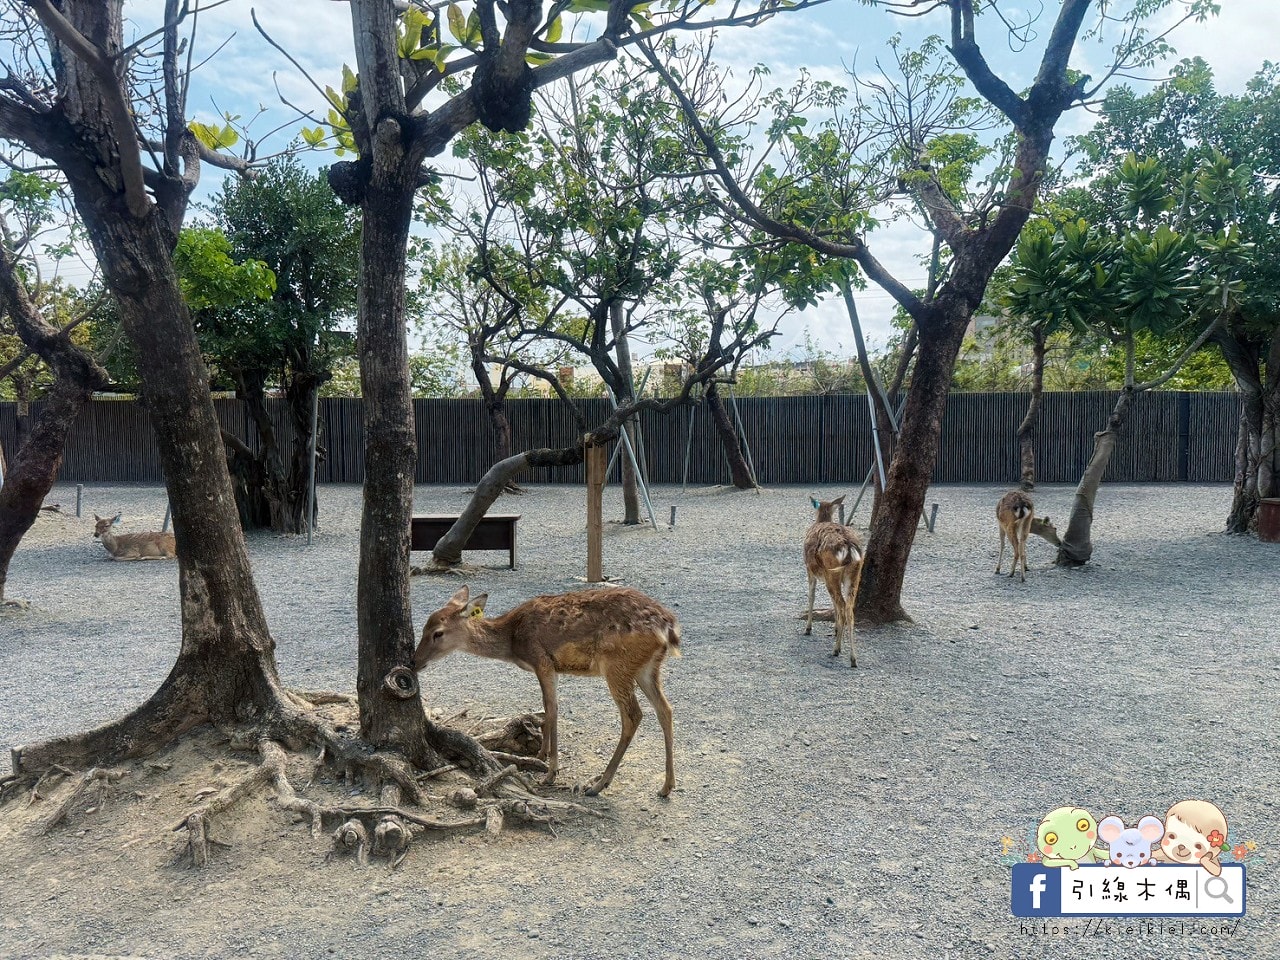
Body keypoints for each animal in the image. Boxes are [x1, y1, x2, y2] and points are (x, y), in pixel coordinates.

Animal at [415, 585, 681, 798]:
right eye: (425, 627)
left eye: (438, 633)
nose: (414, 661)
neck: (512, 639)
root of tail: (668, 626)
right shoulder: (550, 667)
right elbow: (548, 708)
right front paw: (542, 755)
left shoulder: (542, 661)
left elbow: (551, 709)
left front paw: (550, 773)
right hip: (646, 667)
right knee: (665, 709)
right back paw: (666, 786)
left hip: (617, 665)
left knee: (633, 715)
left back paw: (598, 784)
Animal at [803, 495, 864, 668]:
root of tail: (849, 547)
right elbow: (832, 603)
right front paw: (836, 628)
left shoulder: (810, 571)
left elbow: (811, 596)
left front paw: (808, 628)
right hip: (854, 573)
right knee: (849, 607)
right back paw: (853, 658)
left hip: (832, 573)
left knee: (842, 604)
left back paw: (836, 650)